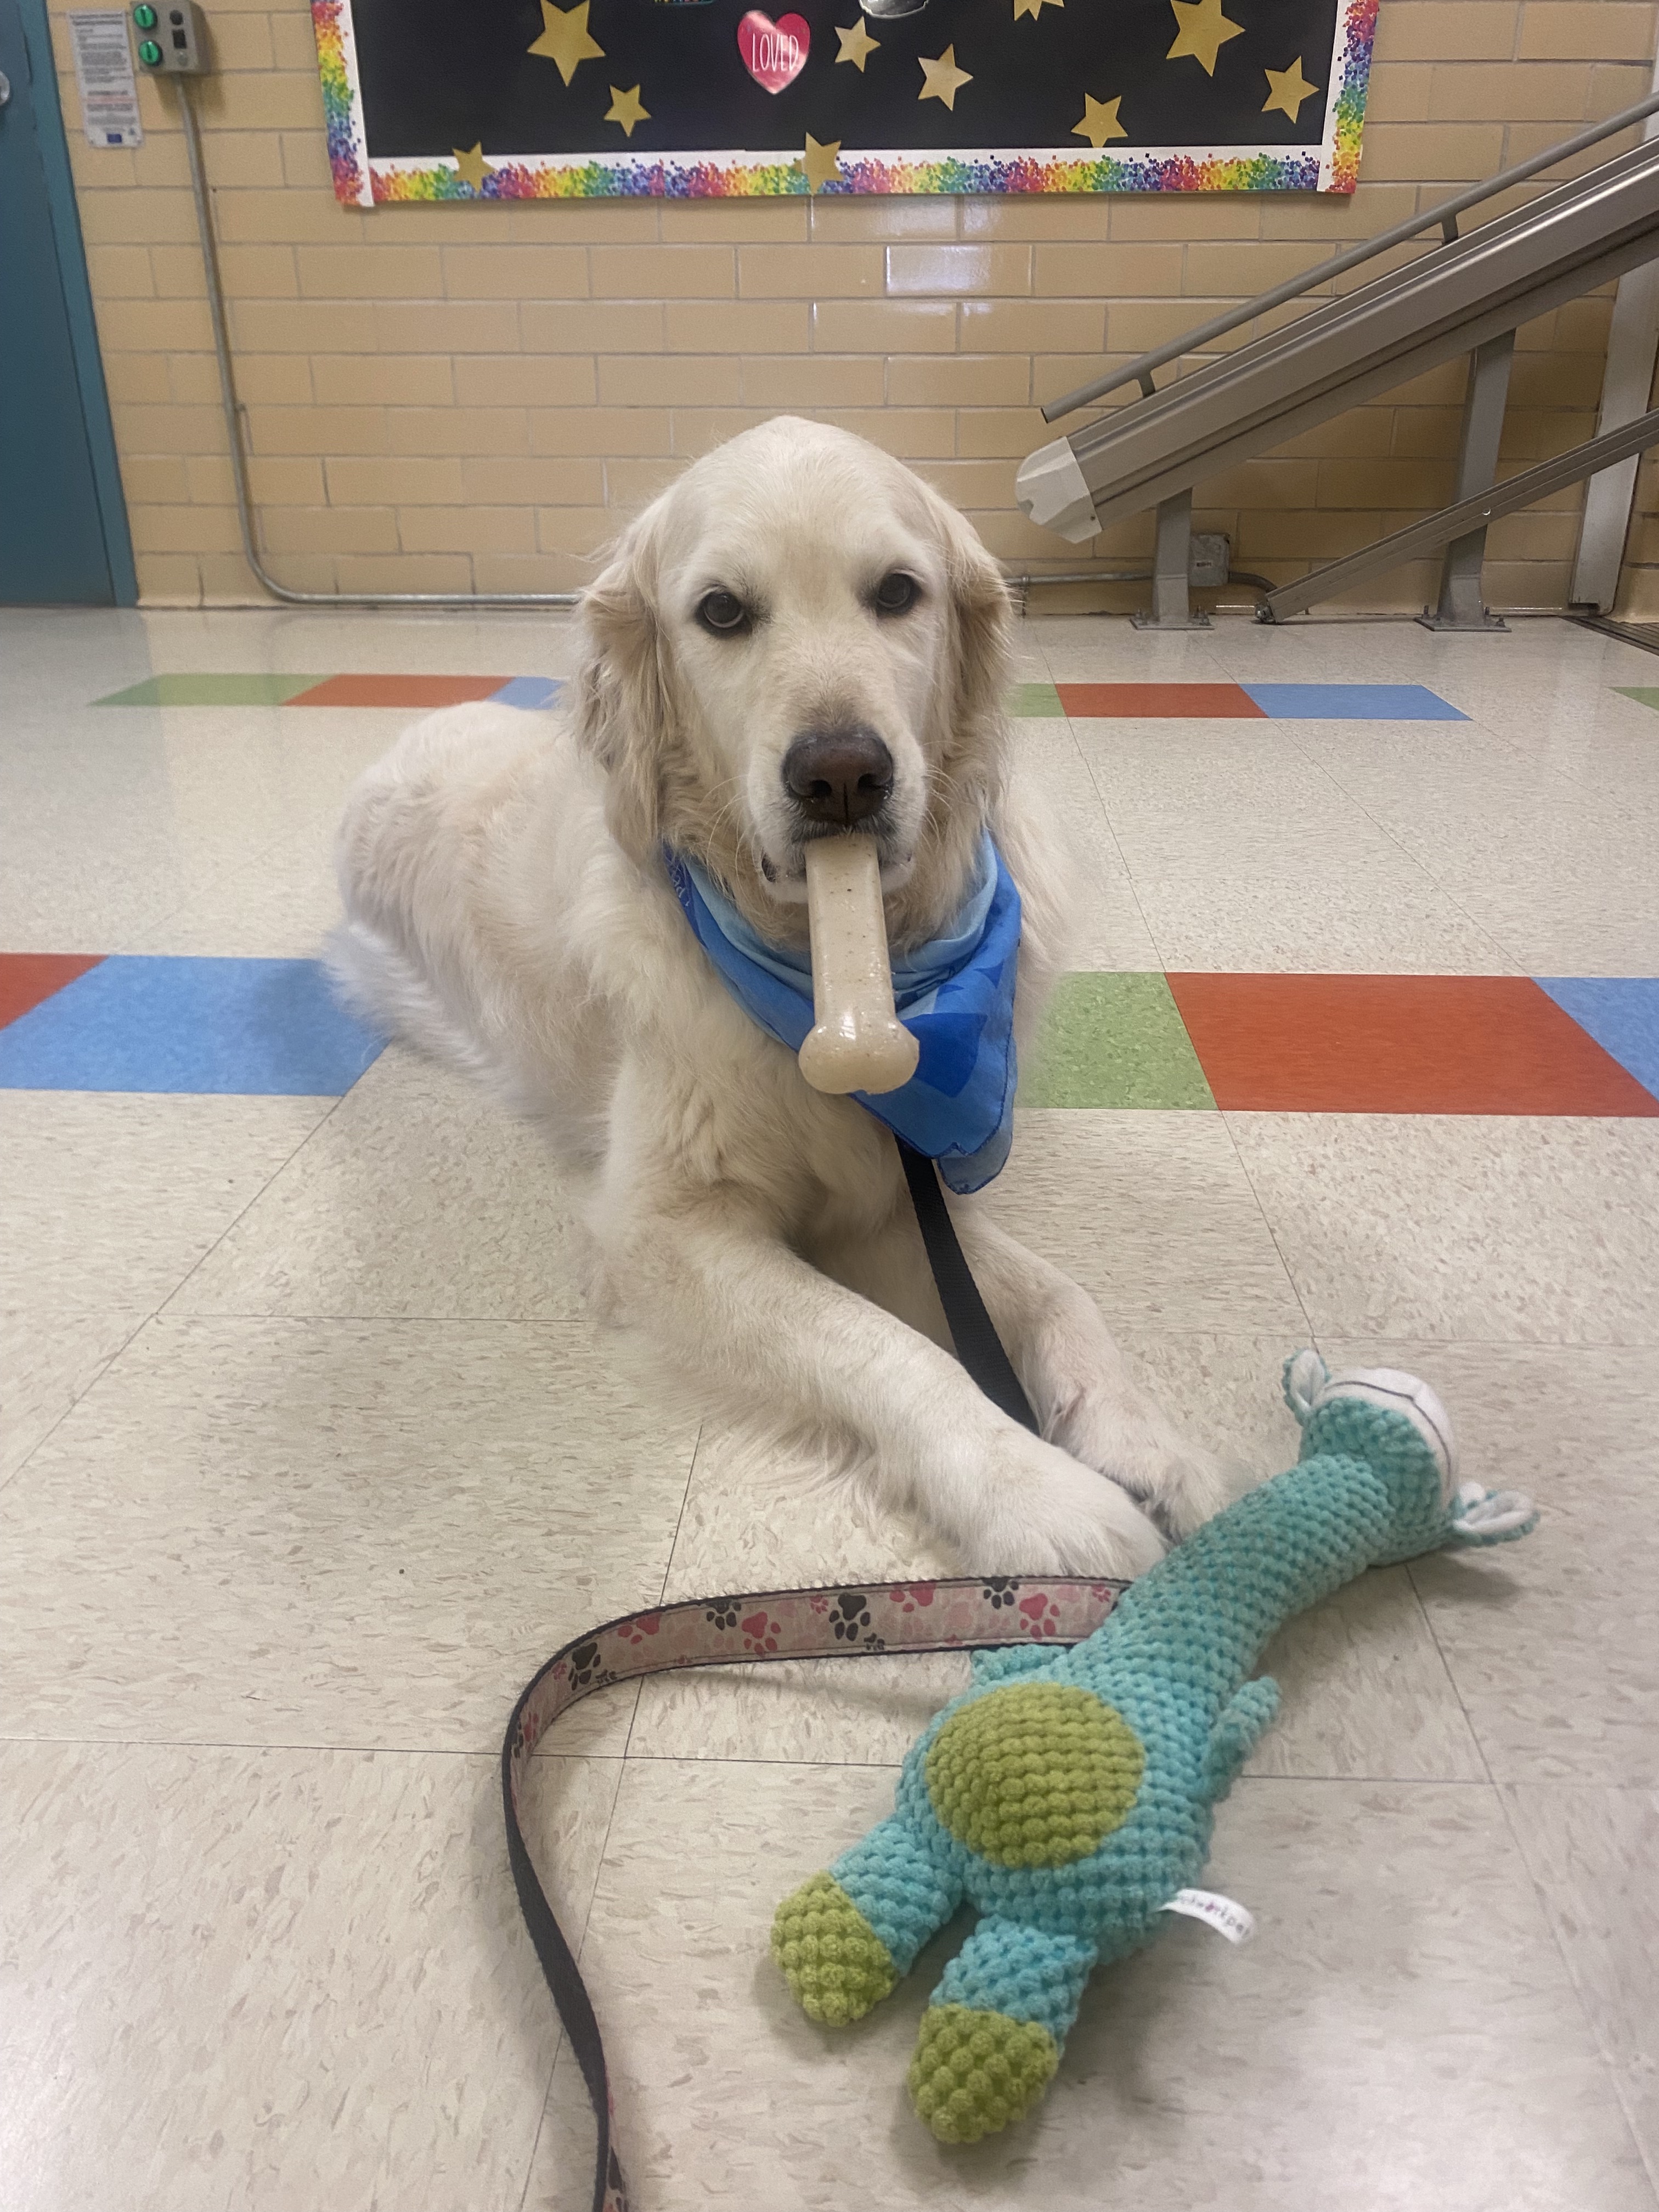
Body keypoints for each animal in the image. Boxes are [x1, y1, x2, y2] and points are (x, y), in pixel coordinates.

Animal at [334, 418, 1238, 1575]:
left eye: (896, 592)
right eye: (722, 611)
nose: (842, 774)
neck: (841, 974)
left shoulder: (893, 1189)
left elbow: (1056, 1292)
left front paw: (1142, 1441)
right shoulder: (658, 1231)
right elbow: (884, 1349)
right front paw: (1035, 1491)